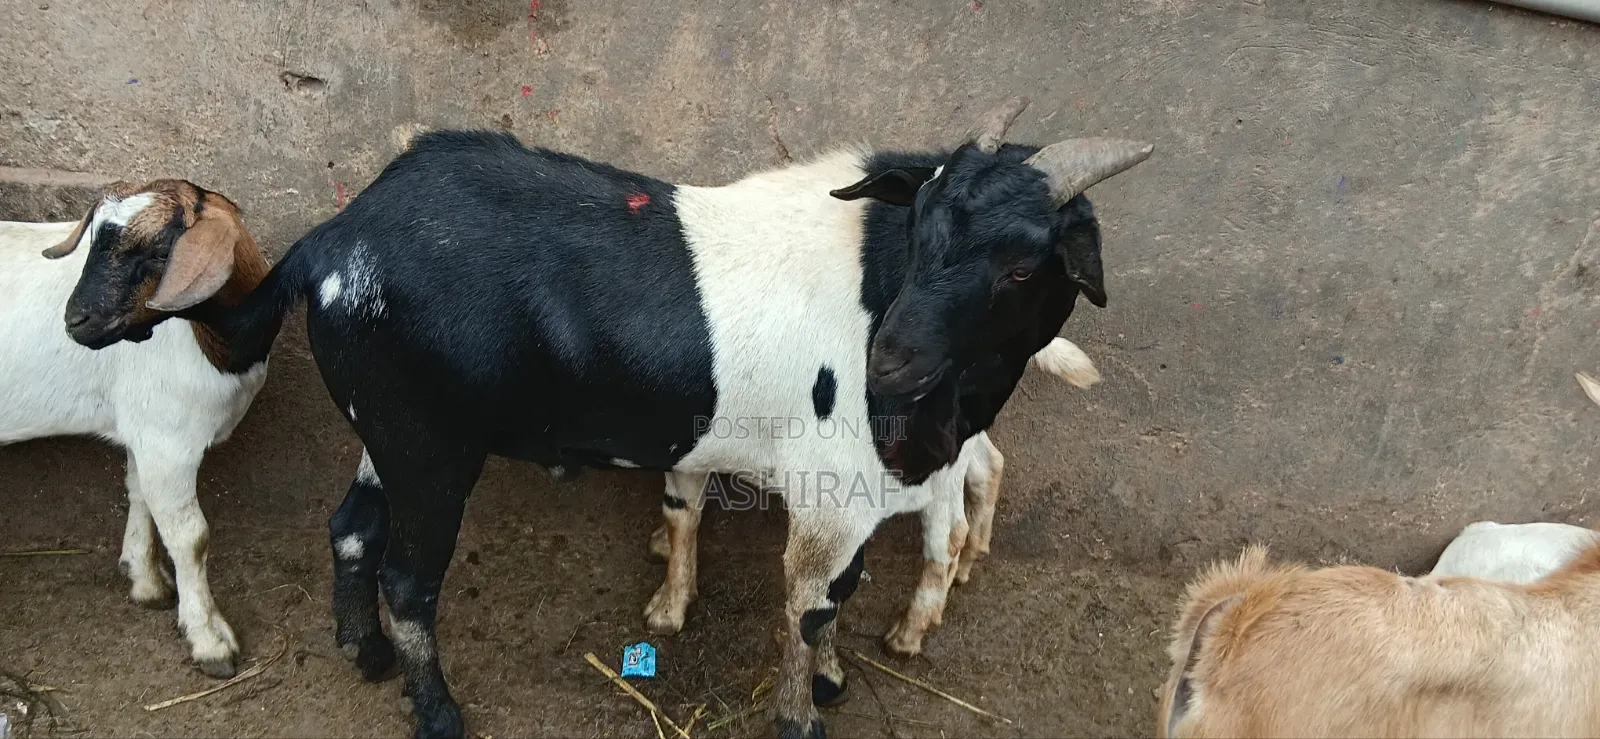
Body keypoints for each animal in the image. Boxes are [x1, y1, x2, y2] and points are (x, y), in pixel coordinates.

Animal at [3, 179, 275, 678]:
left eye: (159, 252)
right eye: (93, 240)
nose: (76, 321)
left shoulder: (146, 432)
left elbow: (138, 493)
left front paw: (145, 580)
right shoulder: (168, 441)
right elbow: (191, 537)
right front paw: (209, 639)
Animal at [643, 337, 1103, 659]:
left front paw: (665, 607)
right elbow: (682, 509)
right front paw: (668, 575)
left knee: (949, 529)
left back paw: (909, 632)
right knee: (988, 465)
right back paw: (970, 561)